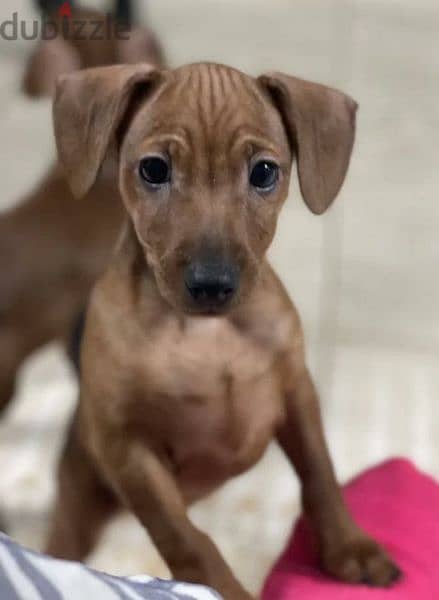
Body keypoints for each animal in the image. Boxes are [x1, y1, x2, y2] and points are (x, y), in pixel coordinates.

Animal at [46, 63, 400, 596]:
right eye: (154, 170)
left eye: (264, 173)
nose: (212, 284)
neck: (207, 333)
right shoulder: (128, 447)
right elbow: (186, 538)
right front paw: (225, 589)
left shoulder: (296, 394)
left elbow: (321, 476)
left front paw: (349, 548)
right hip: (80, 503)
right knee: (65, 543)